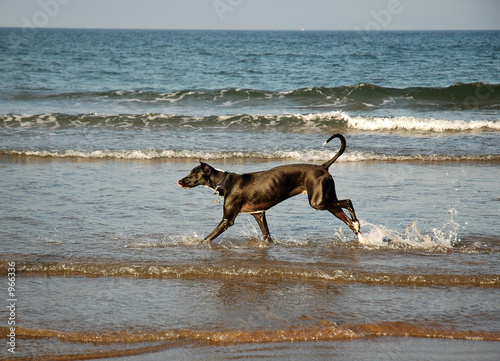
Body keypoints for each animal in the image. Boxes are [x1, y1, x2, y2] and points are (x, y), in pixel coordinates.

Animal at [178, 134, 366, 243]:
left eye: (193, 173)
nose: (179, 181)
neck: (225, 181)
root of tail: (323, 166)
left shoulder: (227, 220)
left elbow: (207, 238)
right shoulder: (259, 215)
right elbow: (267, 236)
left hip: (318, 202)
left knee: (348, 201)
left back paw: (357, 223)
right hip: (327, 200)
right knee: (347, 217)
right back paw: (359, 234)